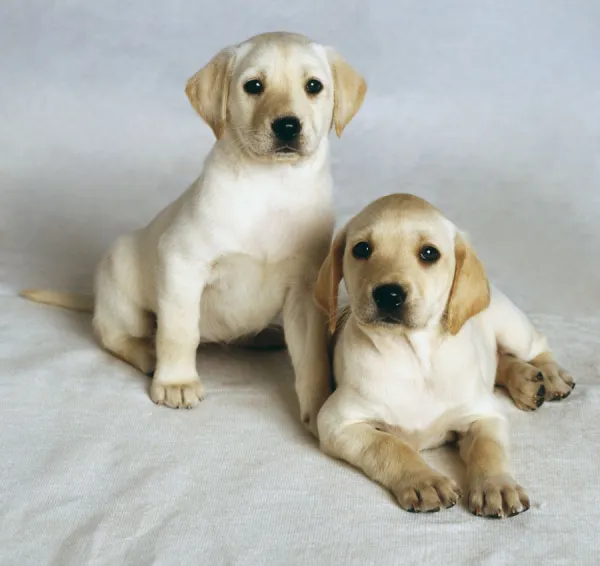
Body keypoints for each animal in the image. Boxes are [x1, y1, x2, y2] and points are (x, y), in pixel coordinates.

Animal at [21, 33, 366, 438]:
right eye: (254, 86)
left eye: (314, 86)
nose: (286, 126)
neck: (271, 184)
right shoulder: (181, 264)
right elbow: (179, 330)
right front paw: (176, 382)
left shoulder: (306, 289)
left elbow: (312, 358)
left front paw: (318, 406)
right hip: (122, 288)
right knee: (112, 334)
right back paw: (147, 354)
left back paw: (264, 335)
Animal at [312, 195, 576, 520]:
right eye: (361, 249)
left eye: (429, 253)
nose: (388, 295)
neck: (412, 357)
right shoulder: (337, 421)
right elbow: (389, 444)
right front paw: (424, 480)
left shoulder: (483, 413)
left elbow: (488, 449)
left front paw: (497, 485)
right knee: (501, 361)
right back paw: (527, 381)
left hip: (512, 327)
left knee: (536, 345)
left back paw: (548, 375)